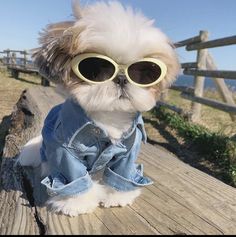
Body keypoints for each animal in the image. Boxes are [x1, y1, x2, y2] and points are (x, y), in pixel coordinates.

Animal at [18, 0, 180, 216]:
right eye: (96, 68)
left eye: (145, 71)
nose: (121, 78)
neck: (108, 118)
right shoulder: (64, 151)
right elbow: (72, 177)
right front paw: (75, 203)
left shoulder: (129, 149)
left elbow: (122, 172)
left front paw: (118, 195)